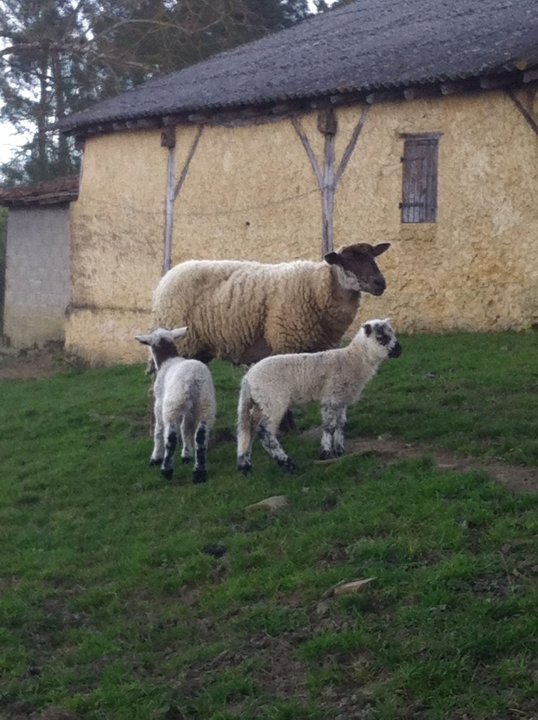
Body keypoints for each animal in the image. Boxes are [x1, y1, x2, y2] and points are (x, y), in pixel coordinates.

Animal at [134, 326, 216, 484]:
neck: (167, 360)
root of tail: (194, 379)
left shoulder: (159, 403)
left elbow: (158, 430)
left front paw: (155, 458)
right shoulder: (189, 411)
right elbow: (186, 429)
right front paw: (186, 455)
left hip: (172, 404)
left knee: (171, 437)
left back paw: (166, 470)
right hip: (206, 405)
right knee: (200, 436)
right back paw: (199, 473)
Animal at [151, 243, 390, 366]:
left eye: (373, 257)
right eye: (347, 261)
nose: (380, 283)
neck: (316, 287)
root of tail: (166, 279)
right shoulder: (286, 342)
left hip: (199, 347)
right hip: (183, 342)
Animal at [237, 318, 400, 476]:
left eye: (392, 334)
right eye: (381, 337)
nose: (399, 350)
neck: (352, 359)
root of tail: (248, 377)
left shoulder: (340, 399)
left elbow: (341, 423)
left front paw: (339, 450)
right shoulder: (331, 396)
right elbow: (329, 426)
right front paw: (326, 453)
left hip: (259, 402)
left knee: (248, 428)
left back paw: (245, 466)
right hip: (273, 401)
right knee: (264, 431)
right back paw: (287, 464)